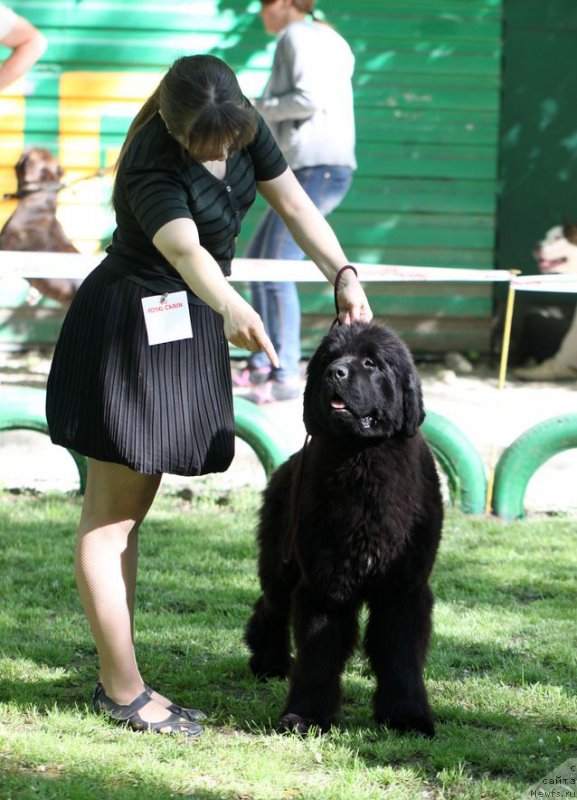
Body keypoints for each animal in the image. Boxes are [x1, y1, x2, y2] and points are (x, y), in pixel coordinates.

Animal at [245, 318, 444, 736]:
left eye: (371, 363)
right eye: (331, 359)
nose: (336, 373)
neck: (361, 456)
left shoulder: (403, 587)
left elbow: (400, 654)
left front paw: (407, 716)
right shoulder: (326, 582)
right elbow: (319, 654)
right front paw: (305, 716)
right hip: (280, 563)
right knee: (272, 606)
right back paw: (269, 662)